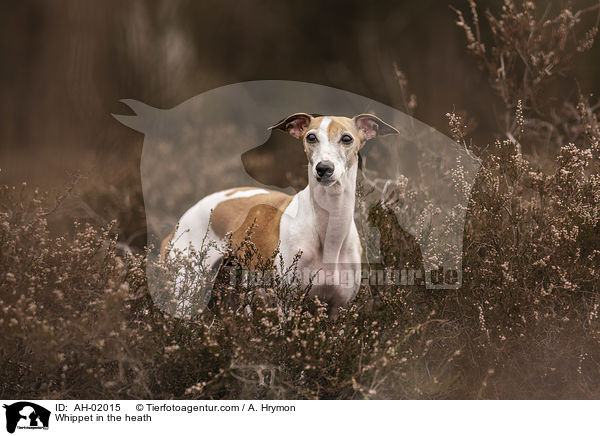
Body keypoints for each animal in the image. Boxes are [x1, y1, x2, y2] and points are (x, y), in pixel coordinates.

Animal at [162, 114, 400, 316]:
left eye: (347, 138)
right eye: (311, 137)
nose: (323, 168)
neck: (327, 230)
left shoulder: (338, 309)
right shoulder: (289, 304)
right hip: (187, 289)